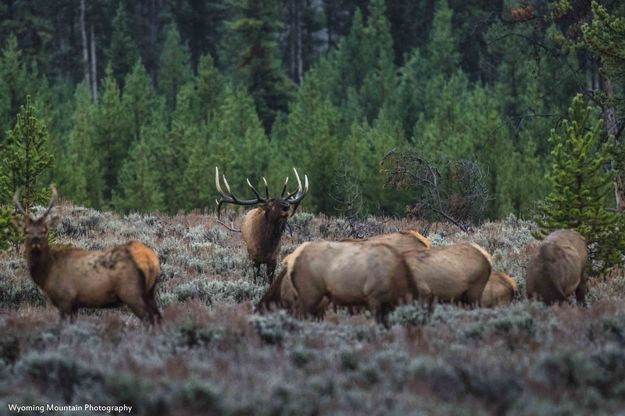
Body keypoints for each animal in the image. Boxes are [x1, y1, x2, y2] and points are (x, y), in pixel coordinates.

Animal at [14, 187, 162, 324]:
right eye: (26, 231)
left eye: (45, 230)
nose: (35, 239)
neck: (47, 273)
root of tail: (150, 258)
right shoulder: (74, 304)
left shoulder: (65, 297)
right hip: (149, 292)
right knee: (158, 316)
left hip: (130, 291)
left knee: (148, 318)